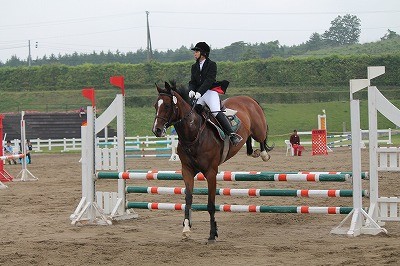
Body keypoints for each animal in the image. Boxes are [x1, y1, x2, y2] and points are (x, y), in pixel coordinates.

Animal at [152, 81, 274, 243]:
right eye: (155, 105)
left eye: (166, 106)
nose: (157, 130)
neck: (193, 134)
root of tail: (248, 98)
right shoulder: (187, 171)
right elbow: (188, 199)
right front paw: (186, 229)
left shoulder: (211, 172)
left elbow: (210, 204)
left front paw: (212, 233)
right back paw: (252, 151)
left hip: (258, 128)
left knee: (261, 137)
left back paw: (263, 153)